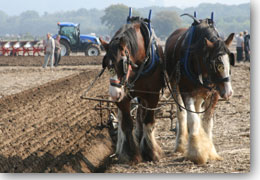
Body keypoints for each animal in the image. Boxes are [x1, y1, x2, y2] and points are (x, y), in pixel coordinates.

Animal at [99, 14, 165, 163]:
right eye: (106, 64)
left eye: (122, 63)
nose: (113, 94)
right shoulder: (123, 97)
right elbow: (127, 124)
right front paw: (131, 154)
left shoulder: (153, 95)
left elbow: (148, 121)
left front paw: (152, 152)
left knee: (141, 115)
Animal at [167, 13, 236, 164]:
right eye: (216, 64)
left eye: (230, 61)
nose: (228, 92)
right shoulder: (186, 92)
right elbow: (192, 120)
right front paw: (197, 153)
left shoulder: (214, 94)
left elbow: (207, 123)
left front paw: (211, 151)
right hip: (175, 86)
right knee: (181, 114)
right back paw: (180, 145)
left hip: (200, 93)